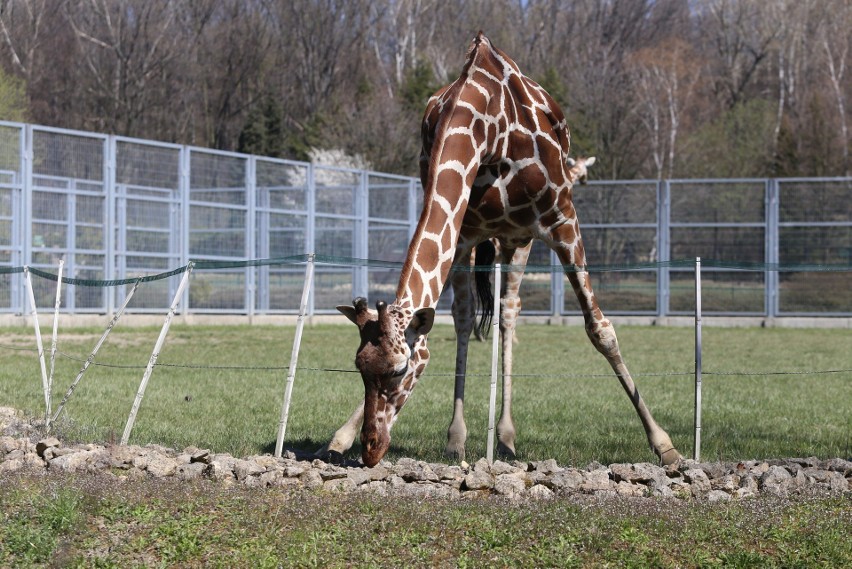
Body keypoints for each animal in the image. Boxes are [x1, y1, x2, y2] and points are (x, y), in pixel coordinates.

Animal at [330, 32, 684, 466]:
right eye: (359, 368)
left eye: (399, 369)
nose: (371, 448)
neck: (486, 126)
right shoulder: (464, 233)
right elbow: (459, 318)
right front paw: (342, 435)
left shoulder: (561, 220)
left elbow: (600, 330)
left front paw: (664, 444)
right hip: (495, 241)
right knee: (471, 317)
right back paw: (459, 439)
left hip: (519, 238)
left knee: (510, 312)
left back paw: (506, 438)